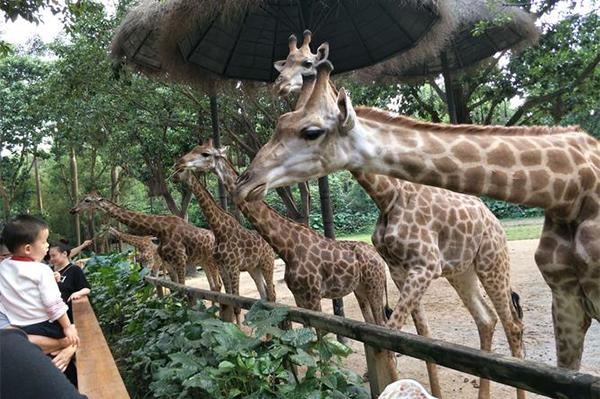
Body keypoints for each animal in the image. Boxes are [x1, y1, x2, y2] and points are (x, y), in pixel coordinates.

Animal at [70, 192, 220, 292]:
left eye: (87, 200)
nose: (73, 210)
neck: (160, 230)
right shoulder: (167, 263)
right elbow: (174, 289)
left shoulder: (180, 260)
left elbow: (182, 289)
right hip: (203, 261)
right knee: (214, 286)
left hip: (213, 261)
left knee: (219, 286)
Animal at [172, 167, 276, 324]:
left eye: (181, 169)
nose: (173, 177)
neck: (218, 231)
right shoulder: (222, 267)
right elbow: (228, 300)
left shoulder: (233, 267)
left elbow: (237, 304)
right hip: (254, 268)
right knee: (263, 294)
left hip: (267, 263)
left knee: (271, 294)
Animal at [237, 59, 600, 372]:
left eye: (310, 131)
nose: (247, 181)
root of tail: (493, 219)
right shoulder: (401, 269)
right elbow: (418, 338)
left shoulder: (425, 265)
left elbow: (392, 337)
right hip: (461, 271)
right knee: (487, 319)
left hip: (492, 262)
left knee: (512, 322)